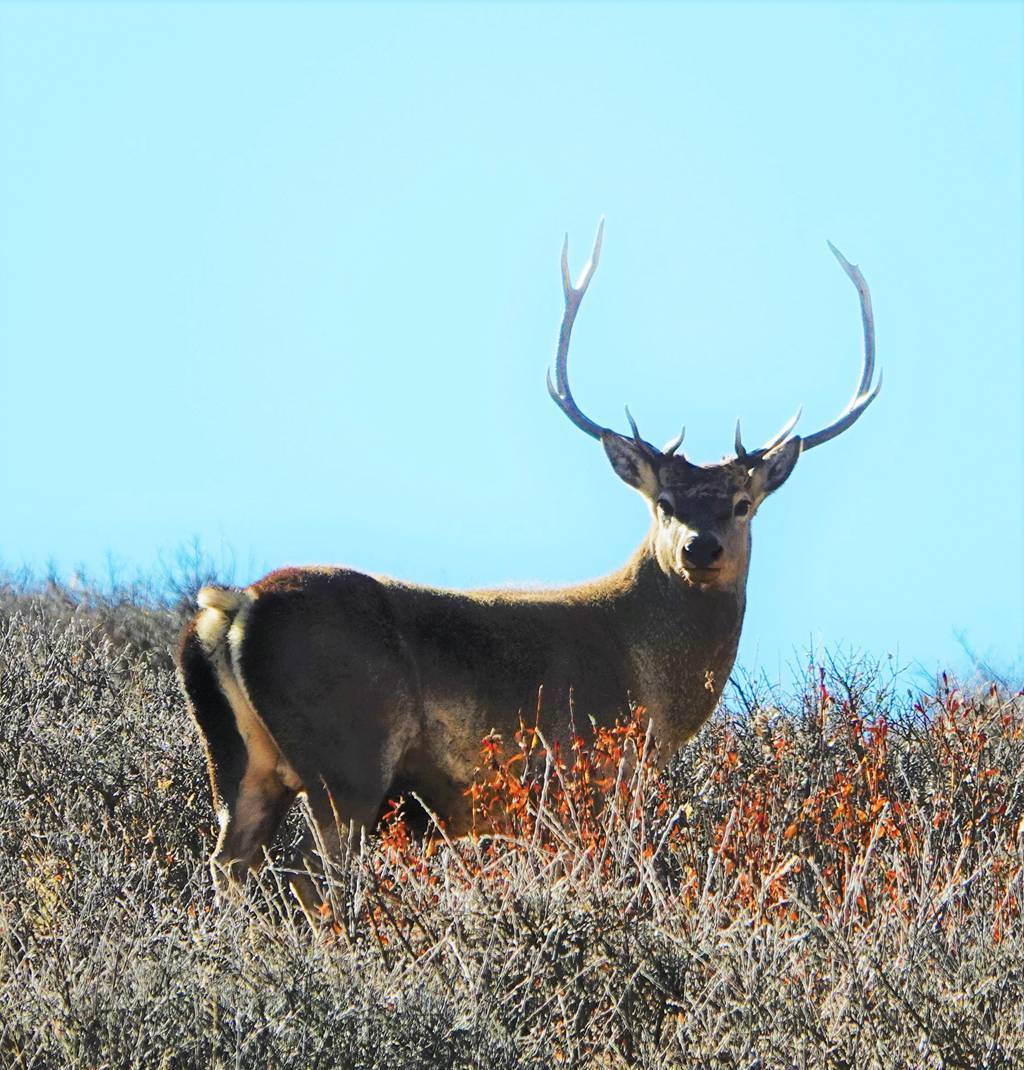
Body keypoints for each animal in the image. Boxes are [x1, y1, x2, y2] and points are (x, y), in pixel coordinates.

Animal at [175, 221, 877, 907]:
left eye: (741, 503)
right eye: (665, 504)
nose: (699, 548)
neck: (653, 691)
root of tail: (235, 607)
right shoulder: (584, 774)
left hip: (239, 762)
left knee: (228, 862)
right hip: (346, 754)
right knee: (318, 874)